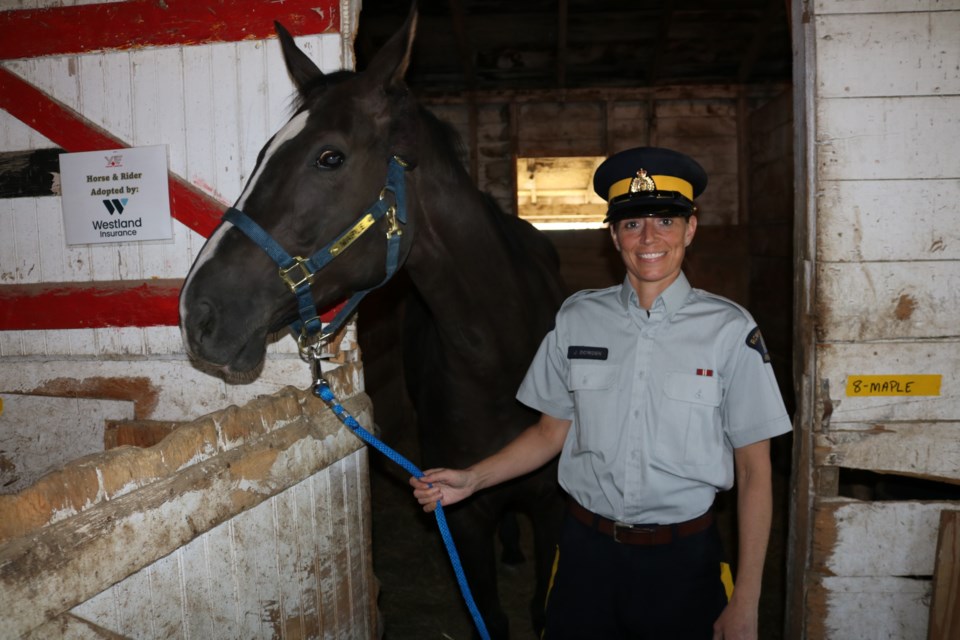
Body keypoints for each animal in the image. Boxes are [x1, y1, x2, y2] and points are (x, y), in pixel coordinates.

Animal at [179, 5, 568, 636]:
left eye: (330, 157)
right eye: (260, 155)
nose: (198, 312)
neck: (501, 359)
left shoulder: (556, 510)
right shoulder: (461, 518)